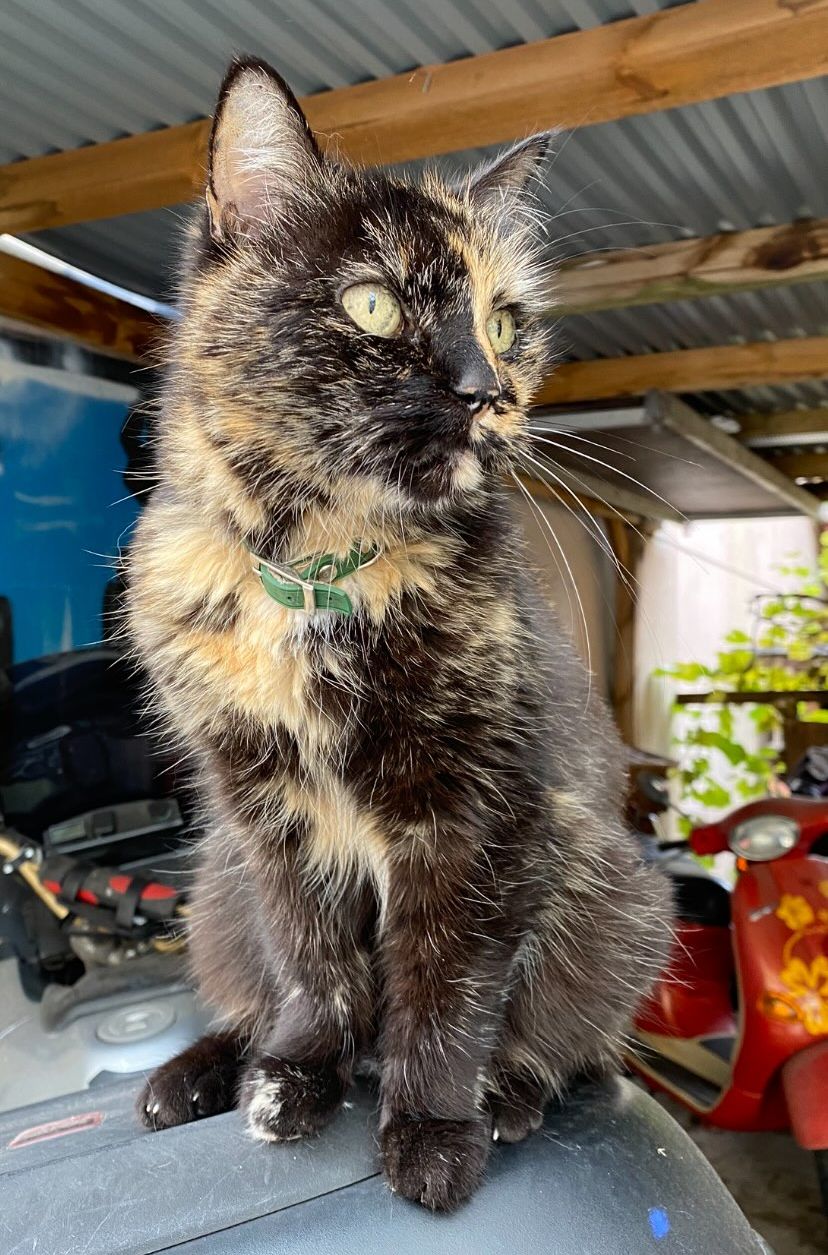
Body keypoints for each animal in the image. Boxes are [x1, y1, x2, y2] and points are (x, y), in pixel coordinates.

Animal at [131, 56, 672, 1204]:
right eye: (373, 303)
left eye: (504, 322)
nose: (487, 390)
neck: (317, 575)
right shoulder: (264, 814)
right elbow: (309, 958)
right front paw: (294, 1075)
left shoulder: (480, 816)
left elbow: (446, 982)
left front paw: (430, 1129)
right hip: (214, 883)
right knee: (245, 981)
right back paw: (195, 1073)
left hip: (618, 894)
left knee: (577, 1044)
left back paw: (508, 1098)